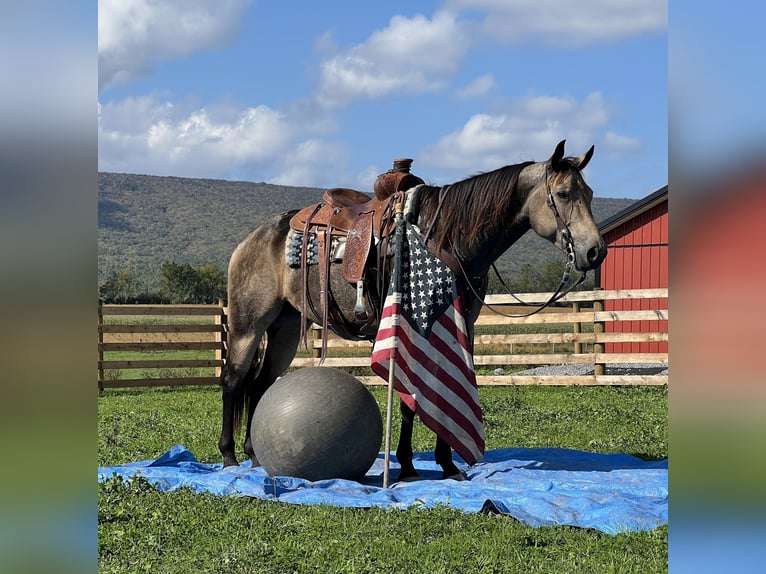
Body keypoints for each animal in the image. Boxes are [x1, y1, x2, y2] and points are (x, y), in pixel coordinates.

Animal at [219, 142, 608, 484]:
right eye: (563, 194)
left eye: (589, 193)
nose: (595, 252)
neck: (446, 236)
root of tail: (255, 237)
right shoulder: (409, 325)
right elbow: (411, 399)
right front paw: (407, 467)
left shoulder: (459, 325)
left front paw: (447, 465)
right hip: (247, 324)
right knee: (234, 380)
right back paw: (228, 457)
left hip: (283, 329)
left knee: (260, 384)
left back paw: (254, 455)